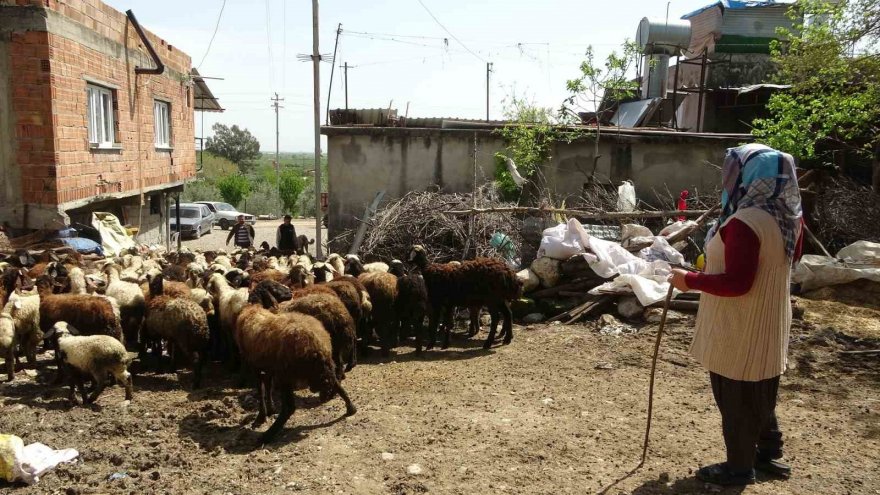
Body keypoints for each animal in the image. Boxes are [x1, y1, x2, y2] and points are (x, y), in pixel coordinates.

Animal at [237, 304, 358, 444]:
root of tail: (316, 346)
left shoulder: (256, 366)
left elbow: (261, 389)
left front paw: (262, 416)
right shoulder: (269, 368)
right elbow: (268, 385)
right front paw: (270, 409)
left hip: (287, 375)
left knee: (289, 407)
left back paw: (267, 436)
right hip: (323, 364)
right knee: (335, 382)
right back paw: (351, 408)